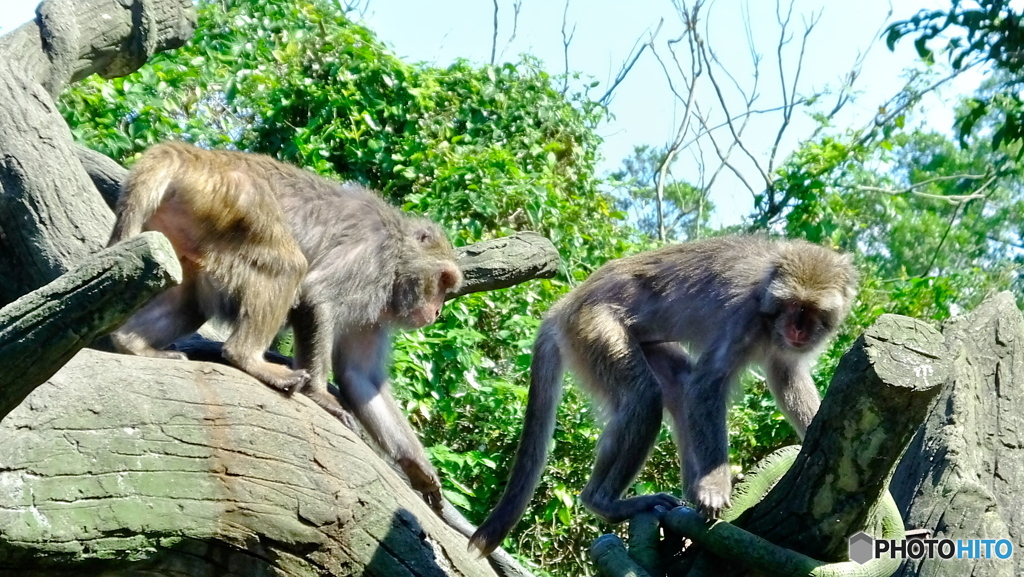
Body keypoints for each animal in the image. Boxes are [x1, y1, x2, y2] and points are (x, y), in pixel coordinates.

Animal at [107, 142, 460, 508]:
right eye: (444, 280)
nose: (436, 312)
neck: (398, 260)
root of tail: (192, 154)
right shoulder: (373, 255)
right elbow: (317, 295)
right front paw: (320, 395)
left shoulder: (374, 315)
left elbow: (358, 376)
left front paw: (416, 465)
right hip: (234, 200)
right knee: (286, 265)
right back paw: (248, 358)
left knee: (190, 300)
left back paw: (133, 343)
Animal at [468, 234, 856, 553]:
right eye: (794, 306)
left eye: (812, 311)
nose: (798, 329)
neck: (766, 309)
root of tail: (565, 304)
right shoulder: (742, 315)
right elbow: (706, 385)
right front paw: (715, 484)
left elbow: (786, 378)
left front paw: (813, 434)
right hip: (592, 328)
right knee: (645, 397)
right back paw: (603, 501)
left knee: (676, 387)